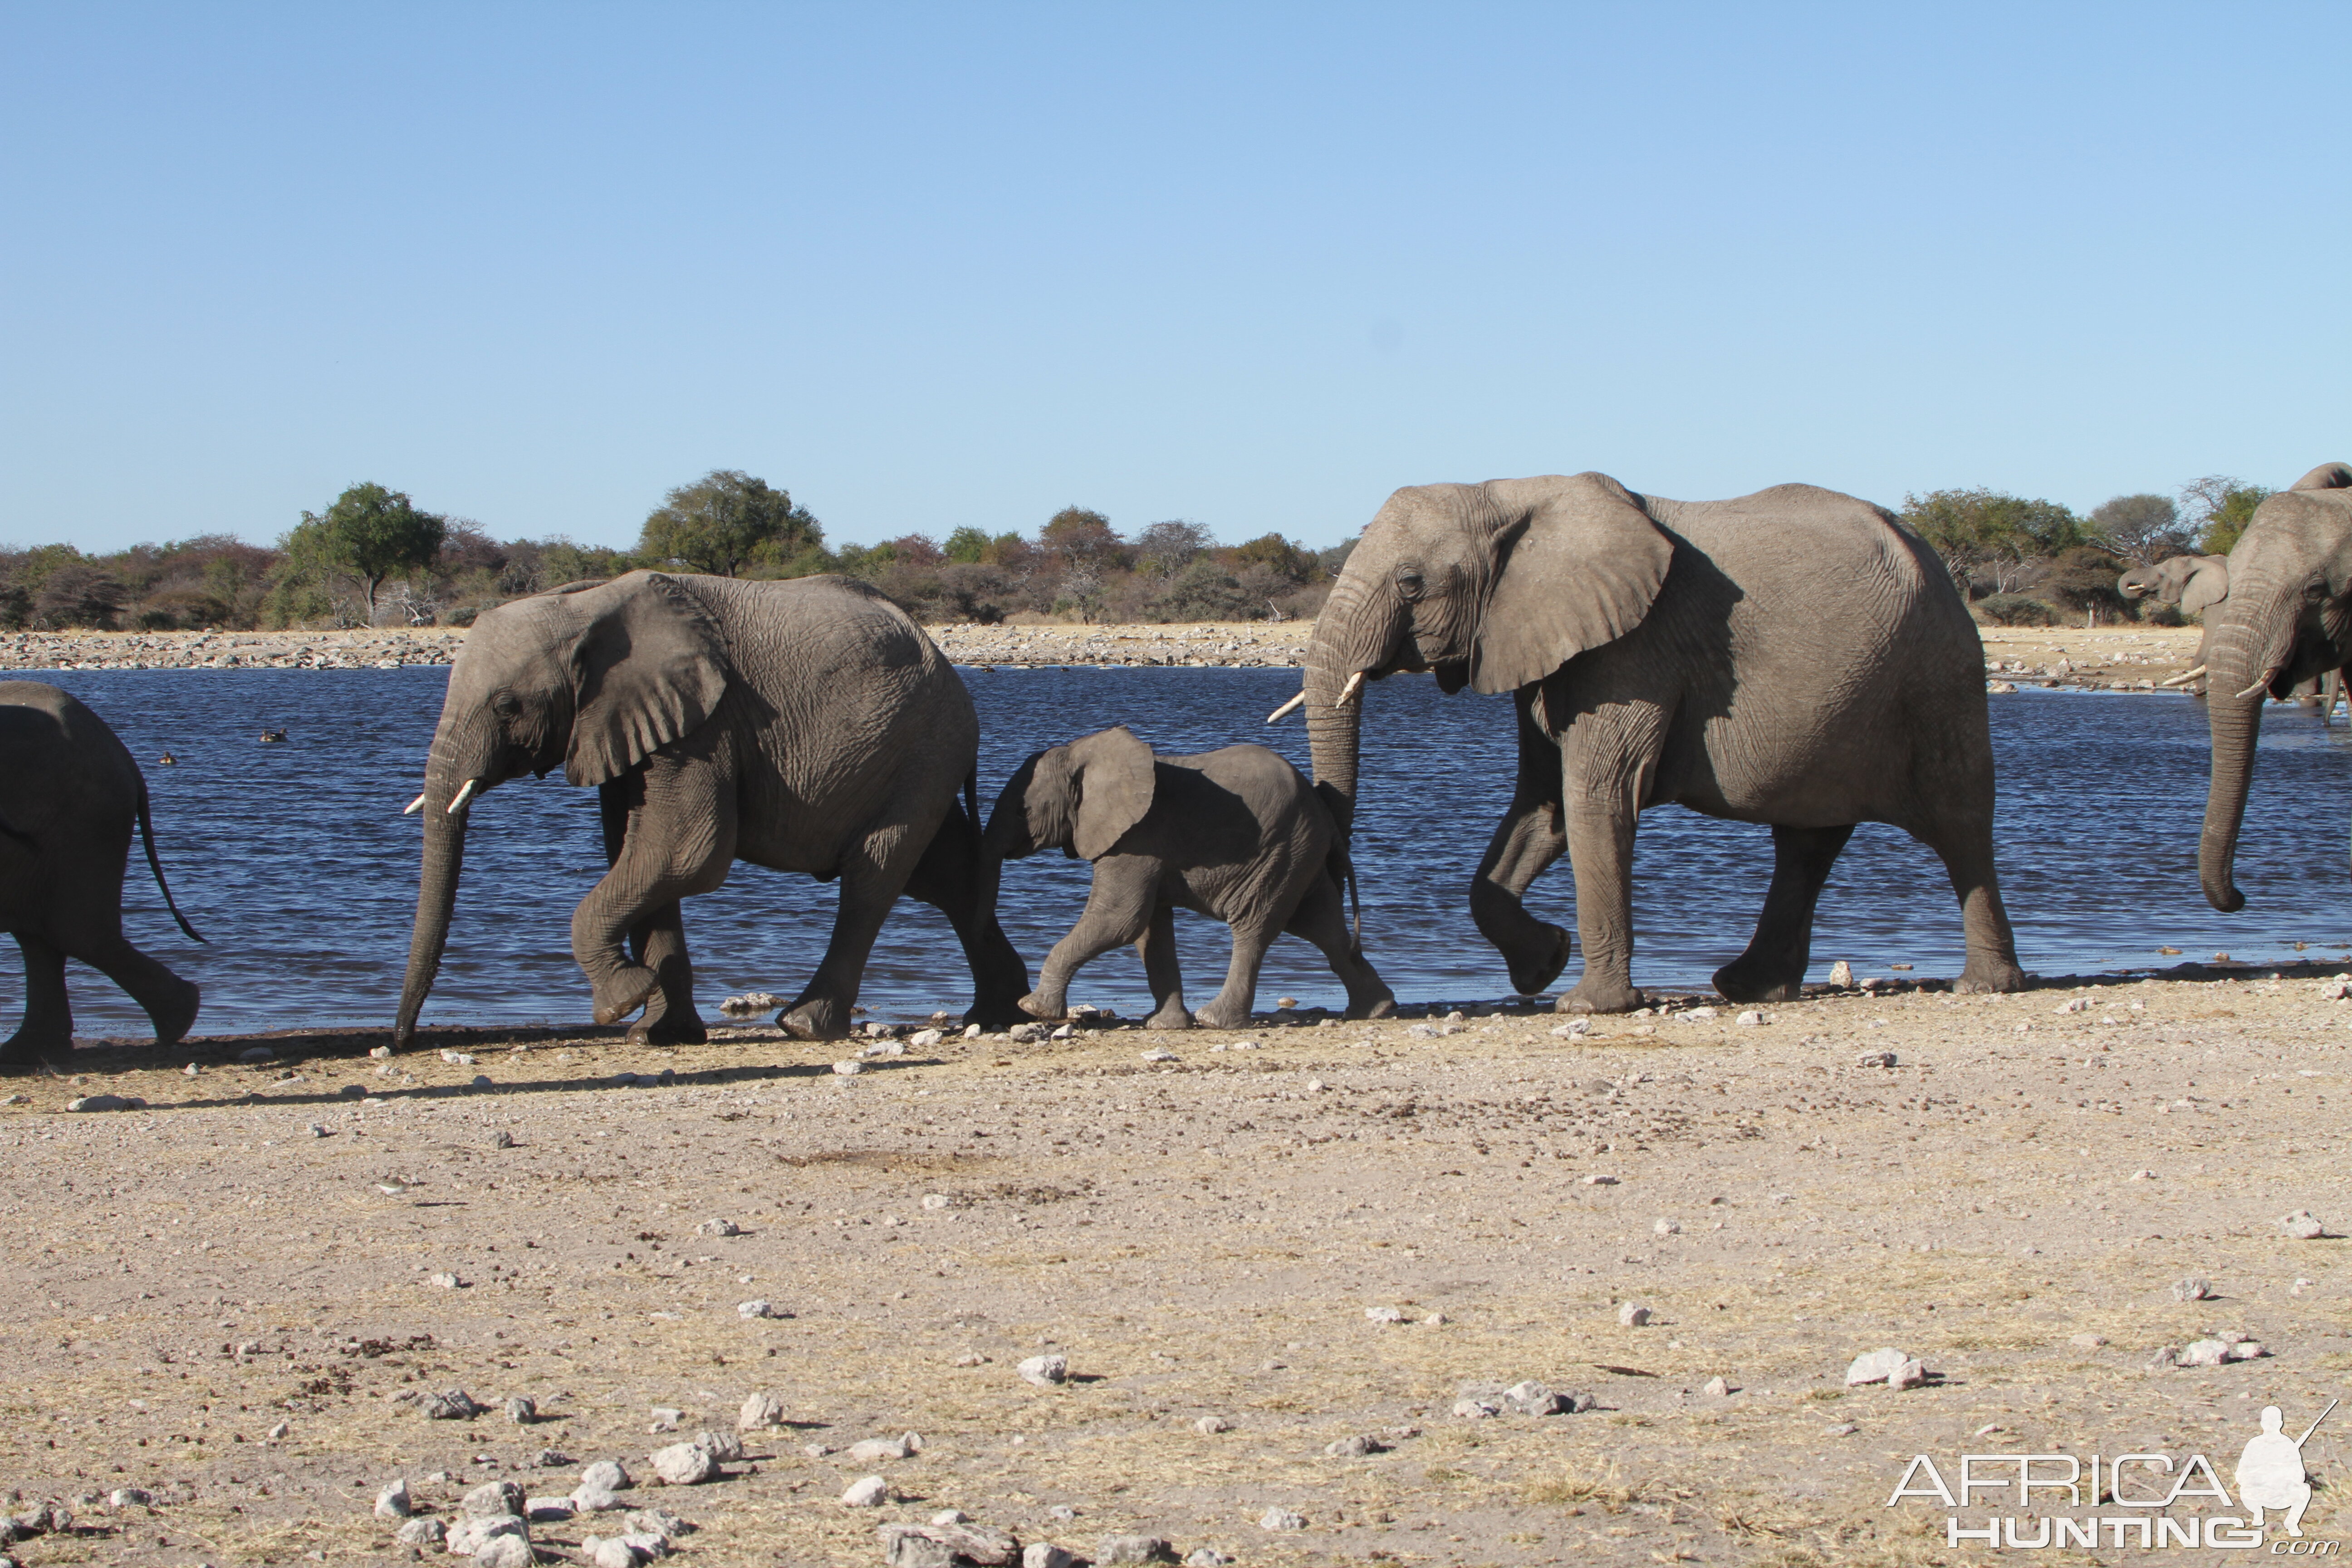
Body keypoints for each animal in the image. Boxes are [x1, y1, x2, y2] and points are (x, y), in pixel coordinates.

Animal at [390, 571, 1025, 1048]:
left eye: (507, 706)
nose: (401, 1041)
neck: (585, 605)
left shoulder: (706, 724)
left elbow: (686, 853)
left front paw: (621, 1001)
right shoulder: (633, 725)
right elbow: (637, 853)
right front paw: (657, 1034)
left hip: (923, 747)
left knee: (873, 875)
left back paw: (804, 1025)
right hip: (920, 755)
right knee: (945, 876)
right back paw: (1000, 1013)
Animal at [978, 729, 1383, 1029]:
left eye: (1023, 811)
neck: (1083, 752)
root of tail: (1324, 814)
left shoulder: (1137, 838)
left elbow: (1120, 919)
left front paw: (1034, 1008)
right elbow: (1148, 929)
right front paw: (1166, 1025)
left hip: (1280, 851)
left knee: (1255, 926)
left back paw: (1216, 1020)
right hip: (1301, 854)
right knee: (1322, 925)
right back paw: (1375, 1010)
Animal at [1289, 472, 2023, 1020]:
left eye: (1411, 583)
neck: (1512, 491)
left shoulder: (1632, 651)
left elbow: (1596, 797)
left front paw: (1587, 1005)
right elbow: (1543, 806)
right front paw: (1545, 963)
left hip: (1938, 670)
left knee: (1959, 820)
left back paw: (1986, 985)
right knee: (1807, 842)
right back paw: (1747, 987)